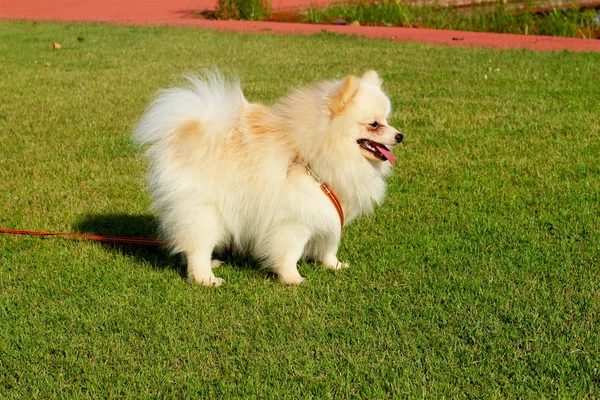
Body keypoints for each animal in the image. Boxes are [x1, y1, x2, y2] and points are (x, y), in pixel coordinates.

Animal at [136, 70, 404, 286]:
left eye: (387, 120)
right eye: (374, 124)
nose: (400, 136)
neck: (312, 154)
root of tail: (188, 130)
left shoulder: (330, 208)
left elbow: (329, 244)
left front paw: (333, 265)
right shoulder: (294, 220)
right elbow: (289, 253)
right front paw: (292, 279)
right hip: (205, 211)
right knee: (196, 247)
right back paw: (205, 279)